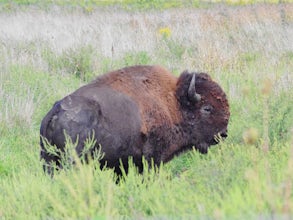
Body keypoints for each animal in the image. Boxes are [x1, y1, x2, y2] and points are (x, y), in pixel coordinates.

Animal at [40, 65, 229, 175]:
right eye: (207, 108)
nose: (223, 134)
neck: (173, 102)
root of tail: (56, 110)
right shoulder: (152, 160)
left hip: (48, 160)